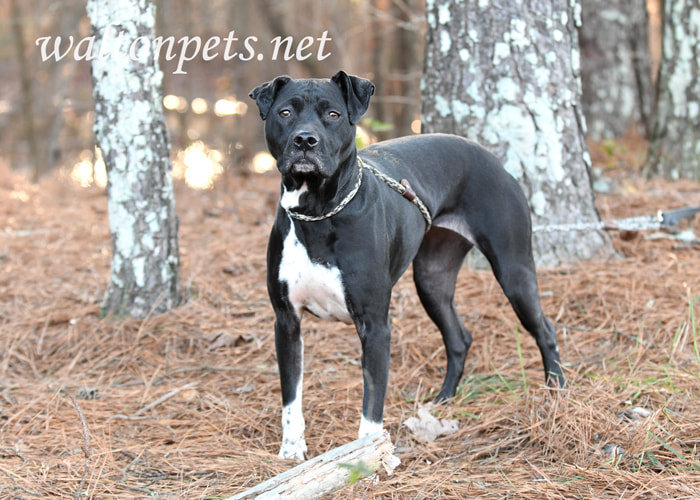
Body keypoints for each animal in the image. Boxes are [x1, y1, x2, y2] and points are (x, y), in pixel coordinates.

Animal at [247, 71, 564, 460]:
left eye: (333, 114)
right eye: (286, 112)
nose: (305, 140)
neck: (319, 214)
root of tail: (492, 158)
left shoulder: (375, 325)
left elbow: (372, 403)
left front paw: (367, 457)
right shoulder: (286, 321)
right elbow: (291, 396)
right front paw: (292, 452)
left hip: (513, 269)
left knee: (545, 330)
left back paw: (557, 397)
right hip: (431, 280)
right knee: (458, 338)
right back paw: (442, 403)